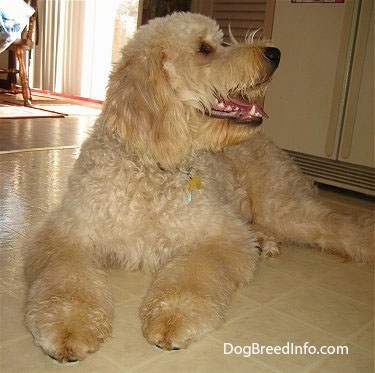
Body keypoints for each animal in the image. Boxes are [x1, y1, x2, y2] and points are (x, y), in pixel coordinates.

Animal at [24, 11, 375, 360]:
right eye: (205, 48)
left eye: (218, 41)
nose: (274, 53)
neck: (151, 169)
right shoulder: (67, 234)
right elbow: (66, 280)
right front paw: (69, 326)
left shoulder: (219, 235)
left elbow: (192, 275)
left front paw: (173, 317)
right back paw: (265, 243)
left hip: (284, 209)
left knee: (345, 226)